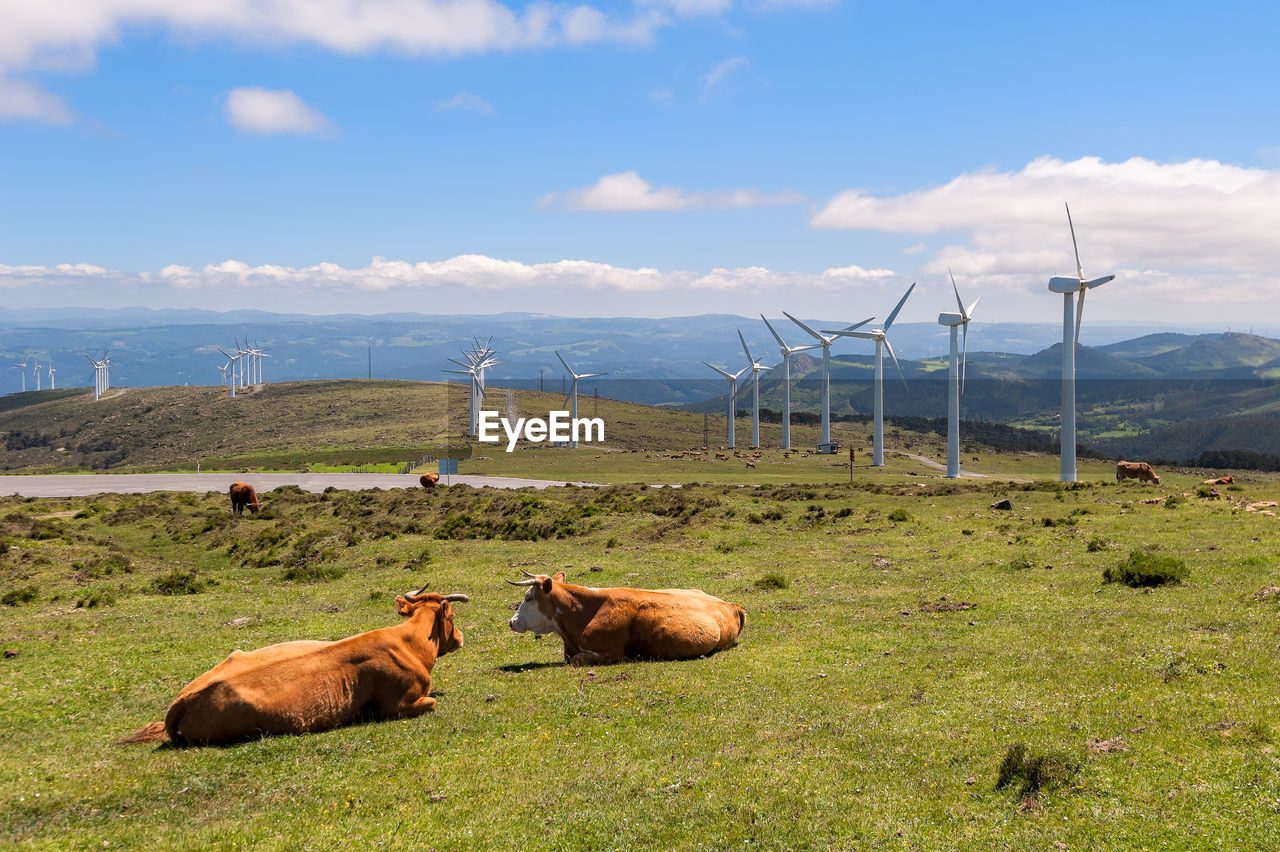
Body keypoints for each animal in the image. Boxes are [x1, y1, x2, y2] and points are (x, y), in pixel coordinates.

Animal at [119, 583, 471, 741]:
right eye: (452, 616)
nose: (461, 637)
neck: (409, 643)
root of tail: (183, 699)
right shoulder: (397, 705)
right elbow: (431, 703)